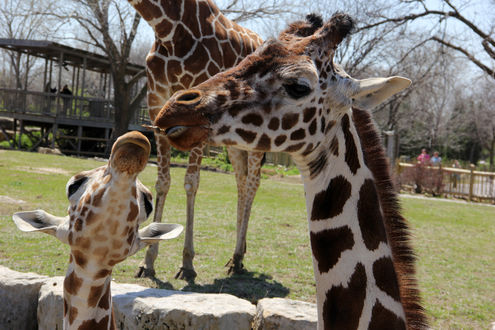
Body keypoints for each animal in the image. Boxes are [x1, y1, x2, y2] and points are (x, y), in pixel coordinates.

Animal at [129, 0, 268, 282]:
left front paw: (187, 264)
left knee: (253, 182)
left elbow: (191, 182)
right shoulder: (157, 105)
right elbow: (162, 182)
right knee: (241, 180)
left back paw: (237, 257)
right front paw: (148, 262)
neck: (166, 28)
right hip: (234, 141)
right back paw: (239, 254)